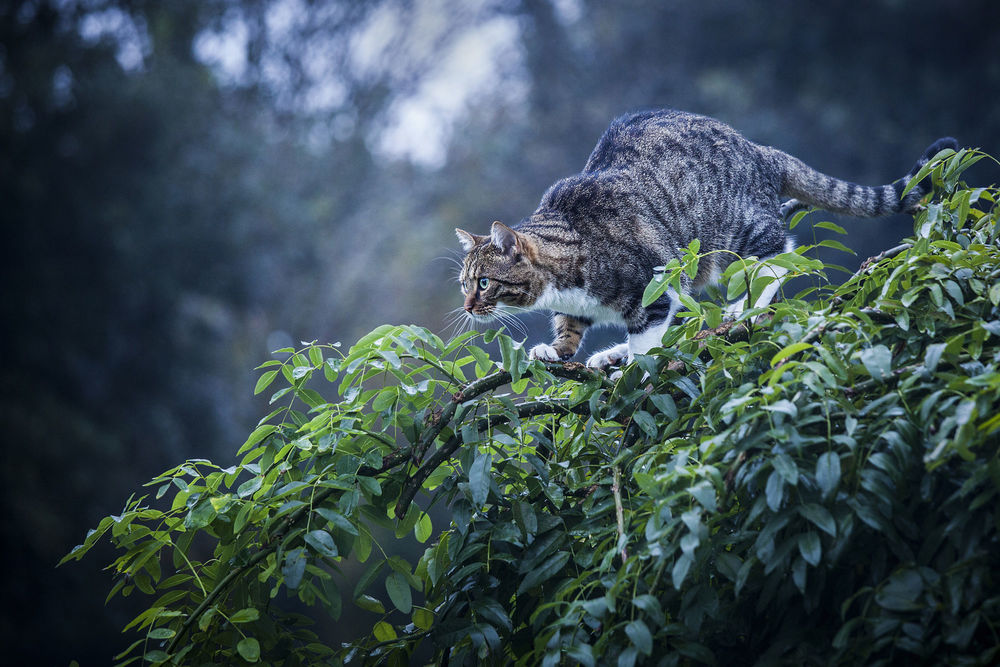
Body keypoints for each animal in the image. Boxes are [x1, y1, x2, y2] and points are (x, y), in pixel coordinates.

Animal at [458, 109, 956, 370]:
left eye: (483, 282)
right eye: (464, 283)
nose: (466, 307)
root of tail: (760, 150)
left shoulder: (654, 280)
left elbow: (649, 337)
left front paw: (634, 369)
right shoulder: (589, 303)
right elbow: (570, 326)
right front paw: (557, 349)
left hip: (733, 236)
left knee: (780, 253)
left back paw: (739, 310)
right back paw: (611, 354)